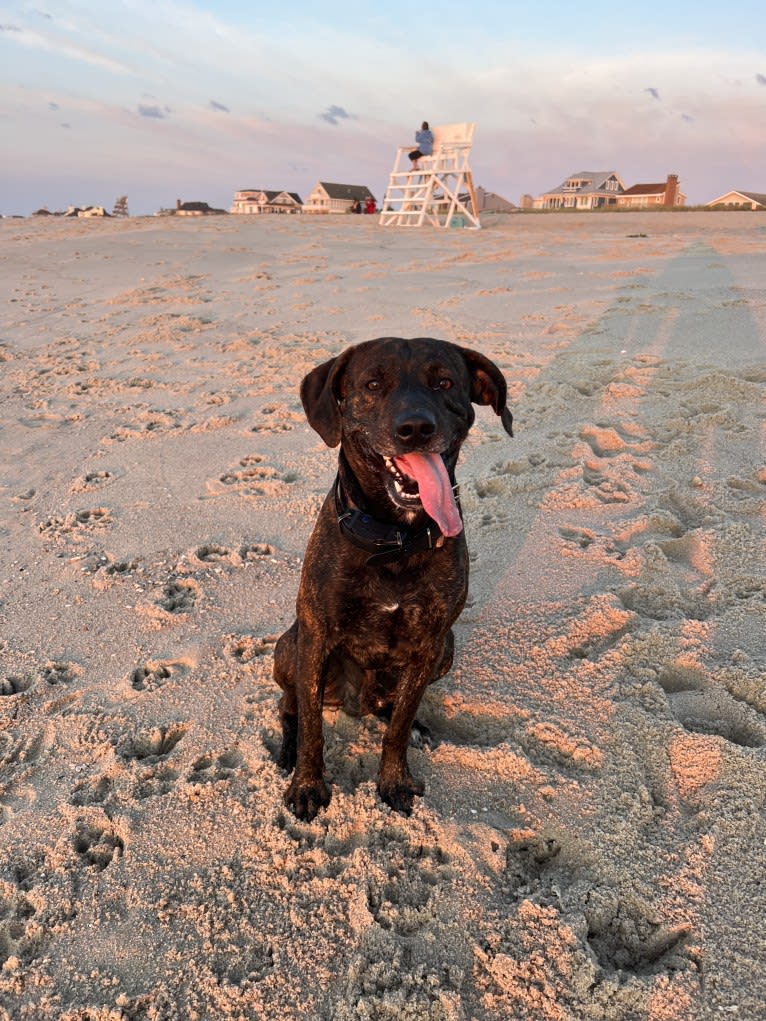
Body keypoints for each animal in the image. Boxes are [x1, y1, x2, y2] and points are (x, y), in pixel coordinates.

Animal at [273, 336, 512, 820]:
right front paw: (307, 786)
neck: (395, 540)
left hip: (447, 651)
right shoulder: (316, 638)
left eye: (445, 382)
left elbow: (398, 727)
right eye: (372, 384)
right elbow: (312, 729)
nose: (416, 428)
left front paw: (395, 779)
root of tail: (356, 703)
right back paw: (287, 749)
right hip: (289, 647)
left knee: (390, 706)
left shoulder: (429, 645)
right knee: (292, 707)